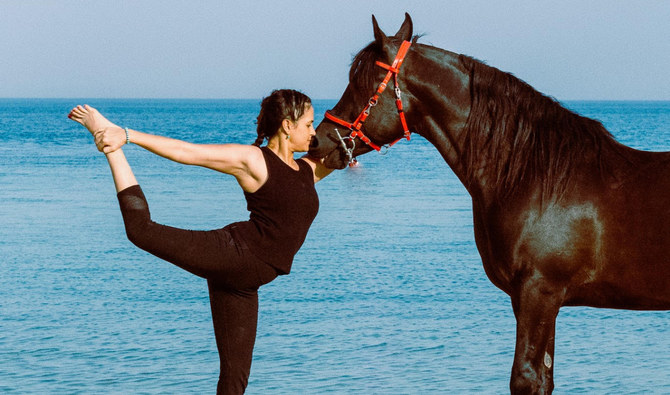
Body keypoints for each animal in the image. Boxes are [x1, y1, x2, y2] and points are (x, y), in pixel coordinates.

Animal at [310, 13, 670, 394]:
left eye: (363, 83)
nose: (319, 141)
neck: (535, 176)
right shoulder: (532, 299)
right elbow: (543, 379)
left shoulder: (538, 293)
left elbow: (524, 378)